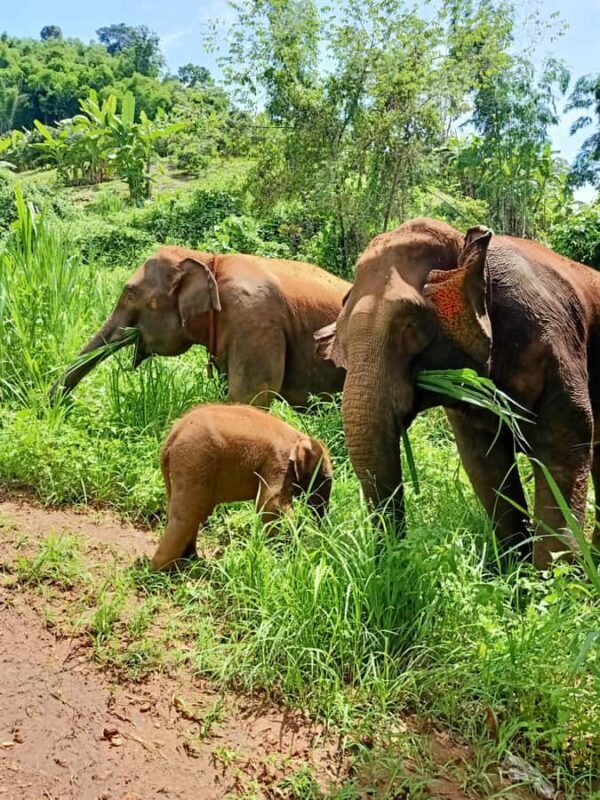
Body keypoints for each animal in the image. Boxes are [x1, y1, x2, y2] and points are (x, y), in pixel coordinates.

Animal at [152, 403, 333, 570]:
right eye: (325, 479)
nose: (322, 533)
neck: (298, 436)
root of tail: (172, 435)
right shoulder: (278, 462)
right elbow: (271, 506)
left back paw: (190, 559)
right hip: (195, 458)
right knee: (188, 513)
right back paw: (163, 570)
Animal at [316, 217, 600, 569]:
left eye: (410, 324)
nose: (394, 559)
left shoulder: (553, 341)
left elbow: (563, 447)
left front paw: (550, 577)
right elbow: (484, 463)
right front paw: (512, 573)